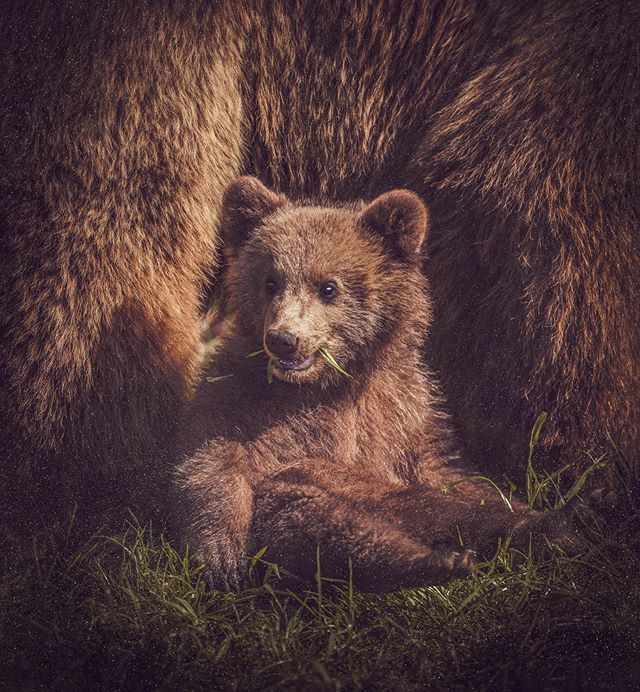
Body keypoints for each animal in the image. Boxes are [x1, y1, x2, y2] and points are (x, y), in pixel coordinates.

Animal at [173, 176, 579, 591]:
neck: (332, 382)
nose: (284, 339)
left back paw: (558, 524)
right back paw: (435, 559)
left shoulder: (404, 412)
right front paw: (221, 552)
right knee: (314, 512)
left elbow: (452, 473)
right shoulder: (241, 393)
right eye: (270, 282)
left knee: (451, 509)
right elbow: (210, 455)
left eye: (329, 287)